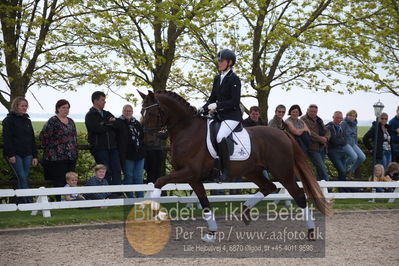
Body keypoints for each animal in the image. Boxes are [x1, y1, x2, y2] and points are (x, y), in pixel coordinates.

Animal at [139, 90, 332, 242]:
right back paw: (245, 211)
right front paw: (211, 232)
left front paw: (156, 214)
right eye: (141, 111)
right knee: (268, 187)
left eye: (152, 113)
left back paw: (311, 231)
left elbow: (159, 181)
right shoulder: (193, 178)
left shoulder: (189, 172)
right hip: (253, 171)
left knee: (298, 194)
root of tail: (282, 133)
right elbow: (204, 202)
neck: (187, 129)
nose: (146, 140)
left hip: (282, 171)